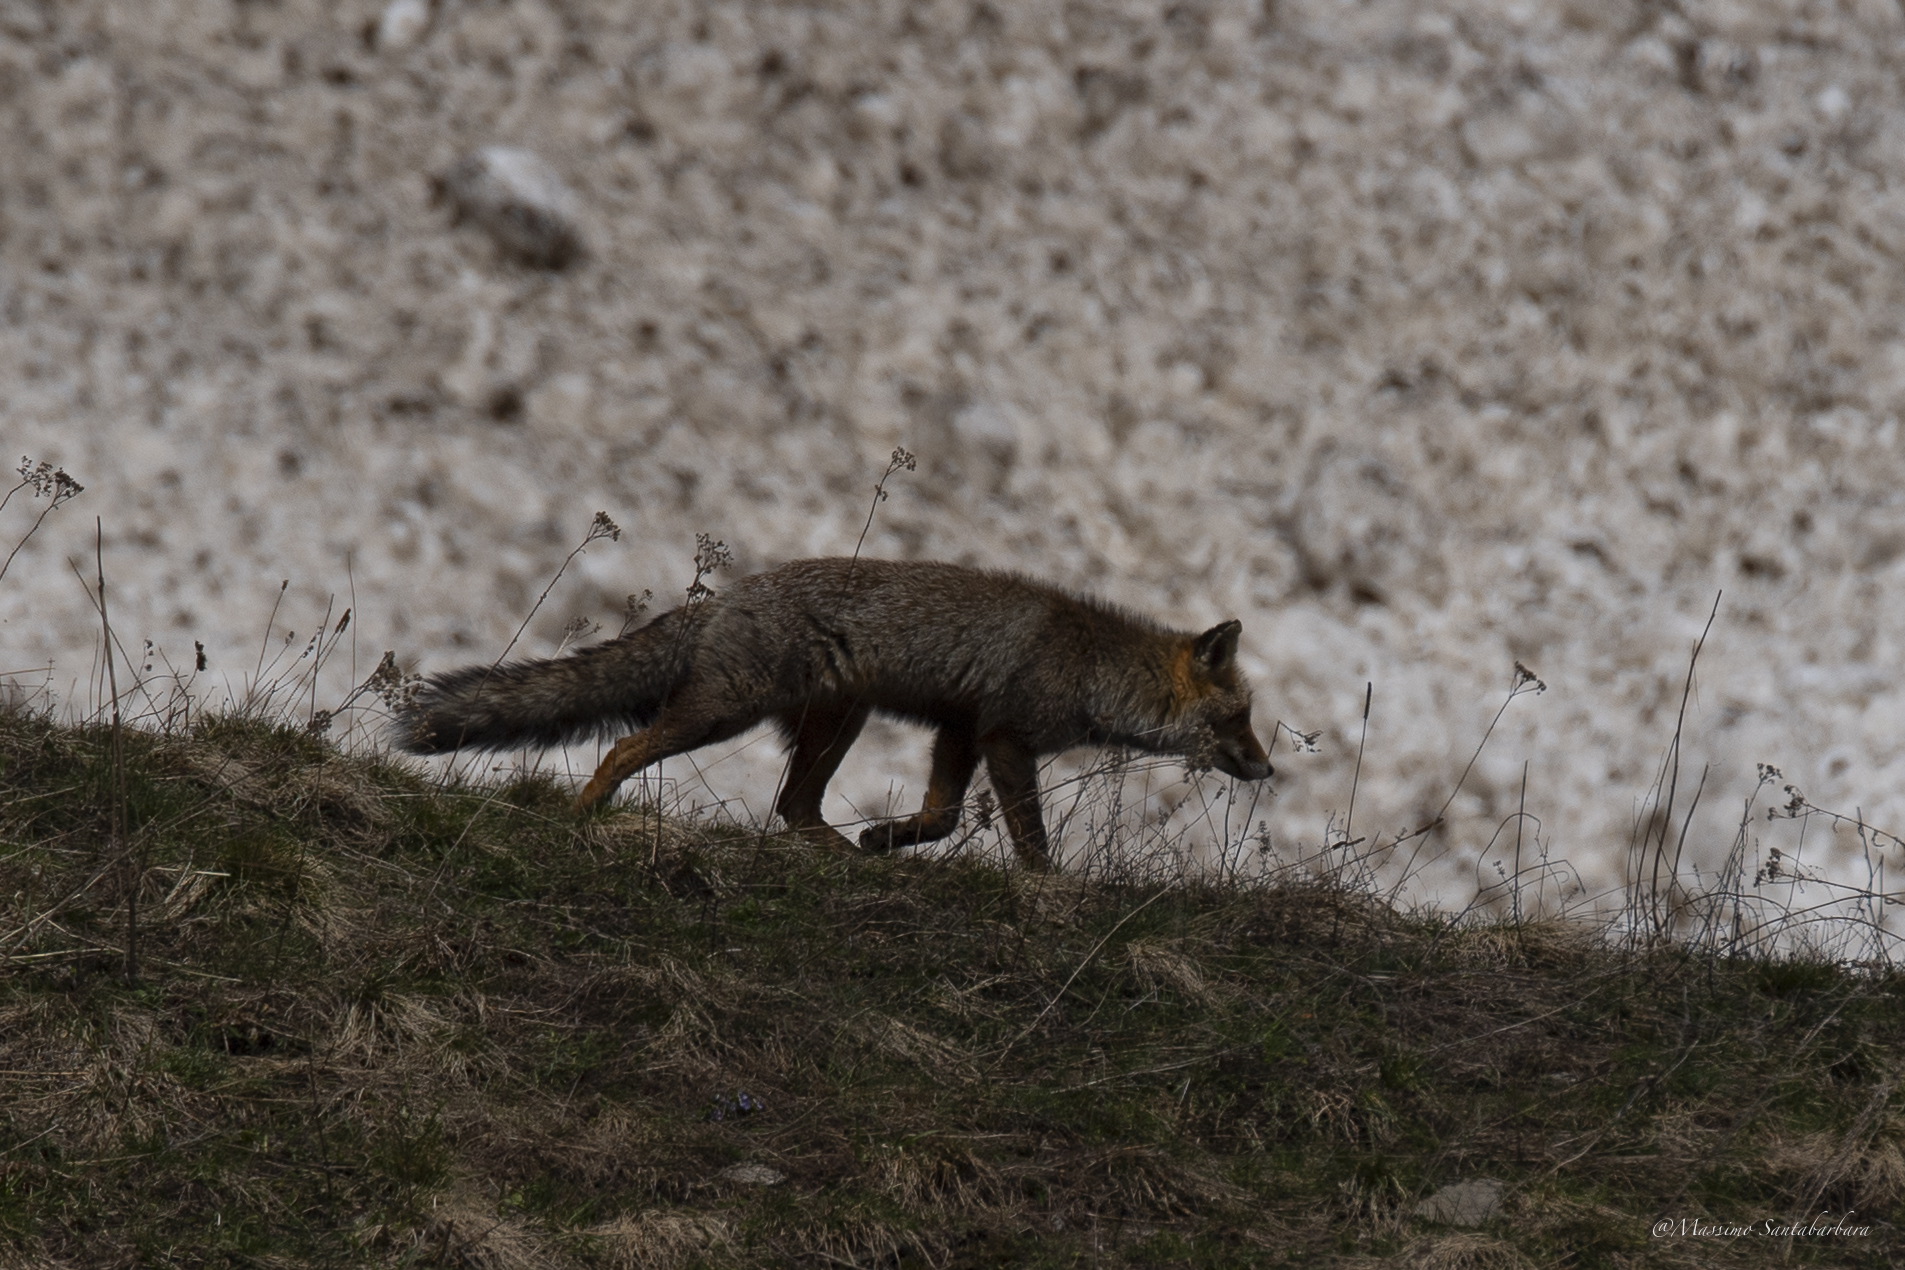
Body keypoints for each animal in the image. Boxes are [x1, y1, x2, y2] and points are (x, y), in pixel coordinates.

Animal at [394, 558, 1273, 870]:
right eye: (1238, 718)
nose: (1268, 768)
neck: (1093, 667)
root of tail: (728, 594)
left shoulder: (959, 729)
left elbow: (939, 817)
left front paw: (887, 838)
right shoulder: (1003, 734)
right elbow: (1027, 835)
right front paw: (1046, 886)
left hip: (833, 724)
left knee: (792, 808)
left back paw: (842, 853)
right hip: (723, 714)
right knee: (621, 750)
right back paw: (585, 818)